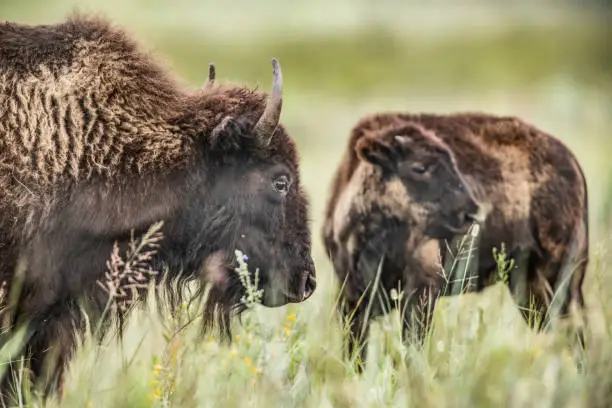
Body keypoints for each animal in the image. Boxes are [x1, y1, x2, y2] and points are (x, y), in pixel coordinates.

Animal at [322, 111, 592, 370]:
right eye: (419, 167)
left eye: (453, 163)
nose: (471, 212)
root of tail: (573, 164)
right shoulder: (350, 295)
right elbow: (356, 354)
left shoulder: (422, 290)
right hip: (528, 285)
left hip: (562, 279)